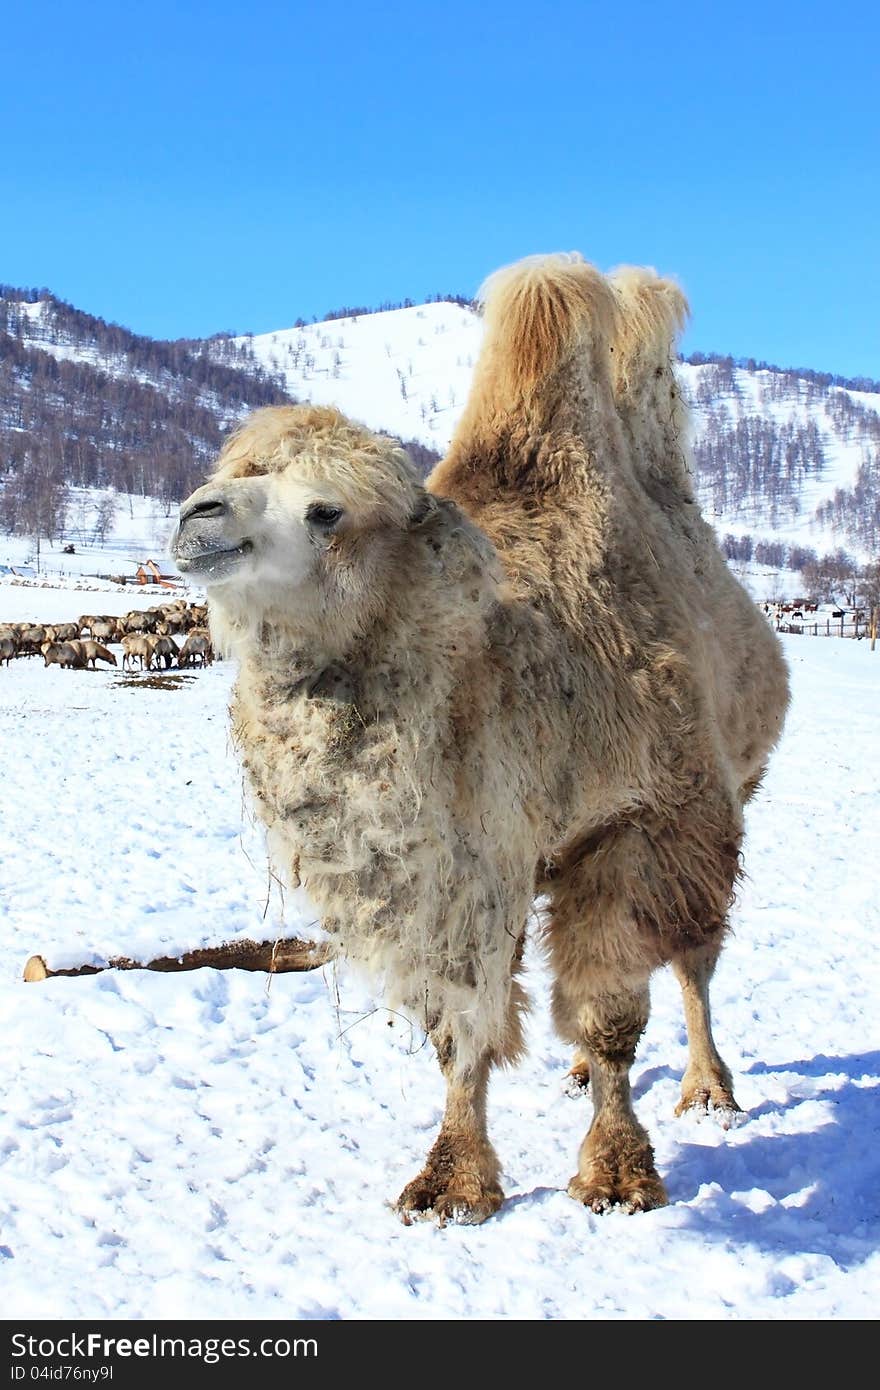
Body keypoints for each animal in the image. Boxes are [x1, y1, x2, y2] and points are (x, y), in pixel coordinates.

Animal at [171, 252, 789, 1228]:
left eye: (324, 511)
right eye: (232, 471)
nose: (199, 516)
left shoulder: (640, 820)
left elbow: (615, 1009)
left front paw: (618, 1175)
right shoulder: (457, 863)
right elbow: (460, 1024)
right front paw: (451, 1180)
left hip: (724, 798)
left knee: (692, 960)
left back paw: (708, 1090)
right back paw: (577, 1073)